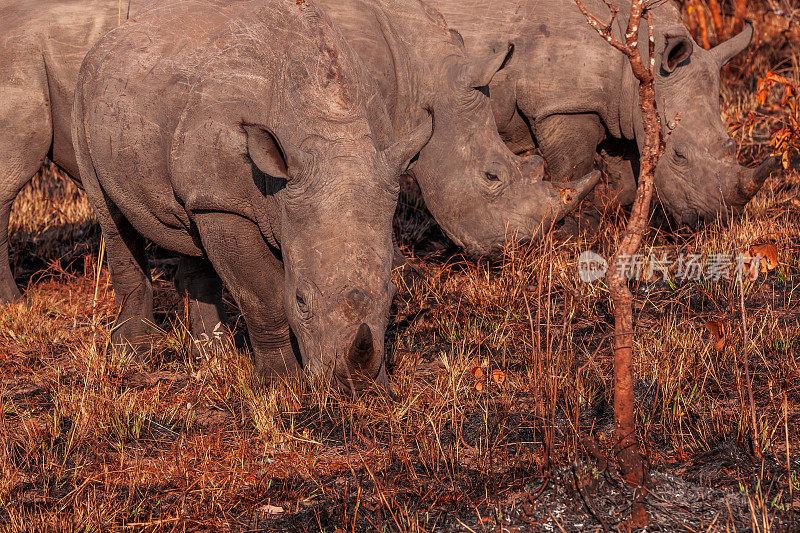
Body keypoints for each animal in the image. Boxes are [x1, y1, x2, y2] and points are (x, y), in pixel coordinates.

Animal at [72, 0, 432, 388]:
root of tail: (111, 37)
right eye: (301, 300)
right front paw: (279, 383)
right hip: (84, 95)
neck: (332, 131)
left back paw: (213, 357)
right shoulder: (230, 205)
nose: (353, 387)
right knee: (112, 217)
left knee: (192, 227)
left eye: (393, 295)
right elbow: (264, 297)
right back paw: (135, 355)